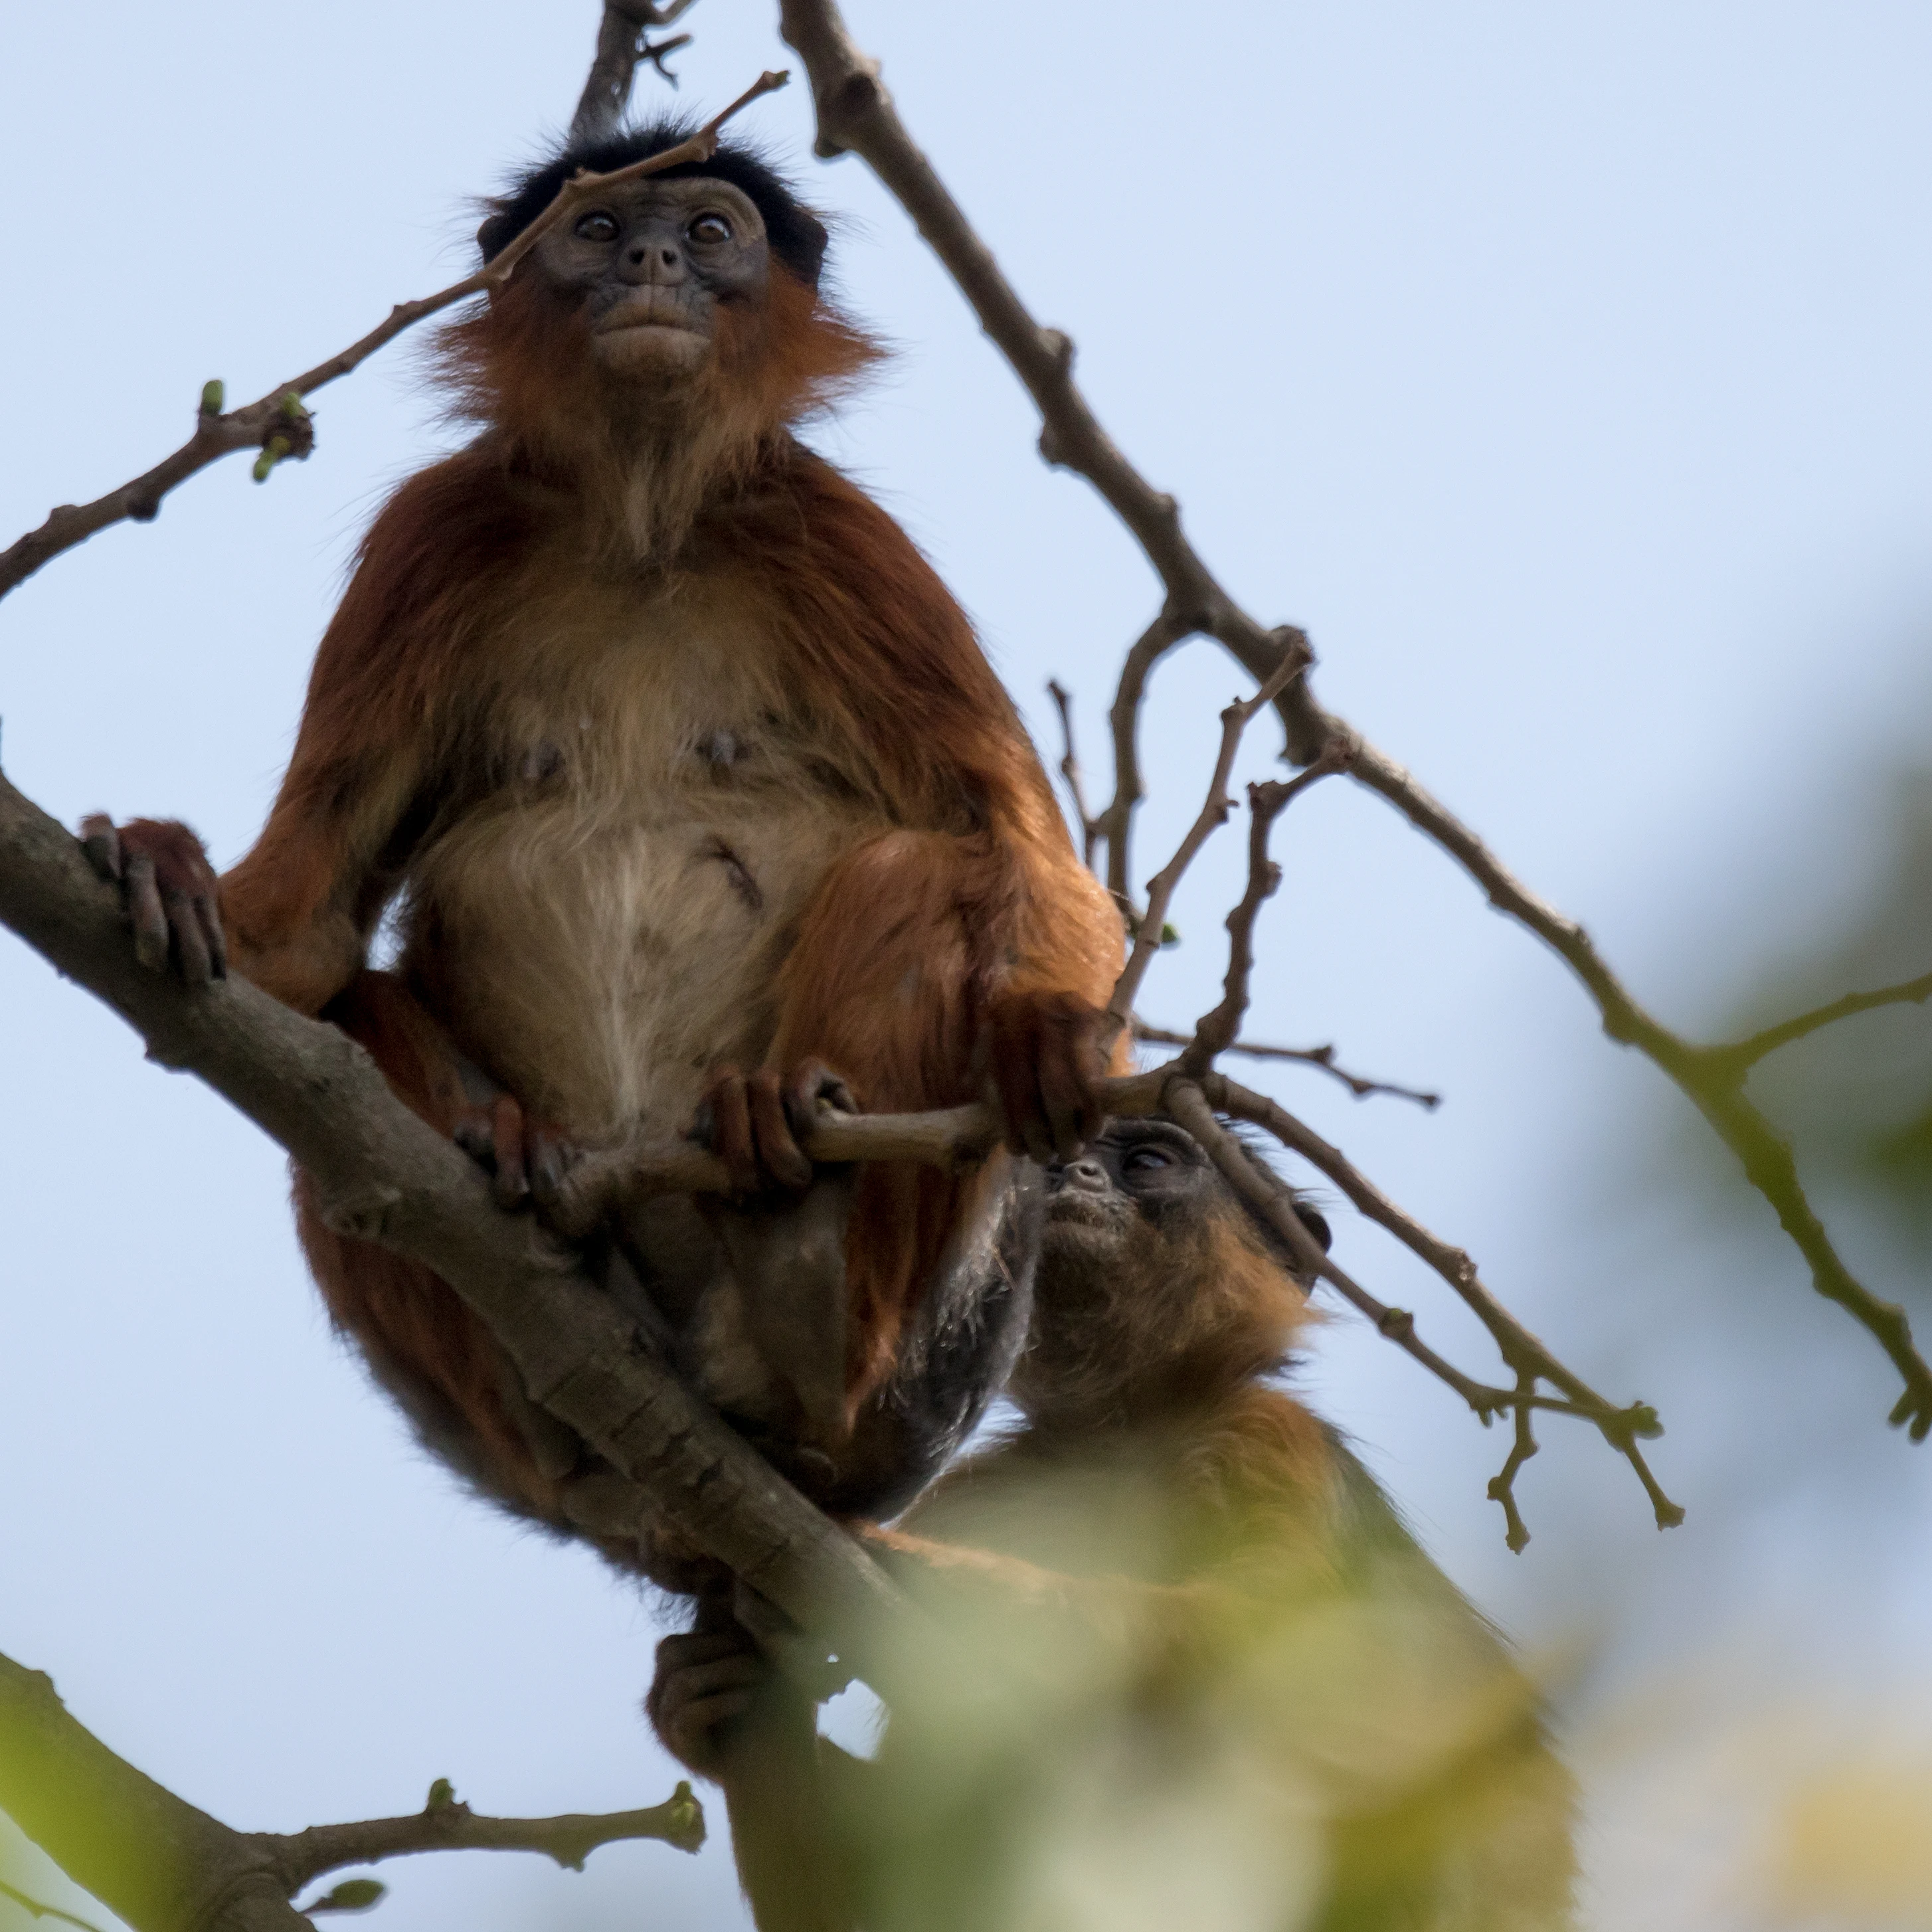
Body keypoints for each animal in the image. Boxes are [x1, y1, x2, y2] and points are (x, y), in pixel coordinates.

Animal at [78, 116, 1123, 1595]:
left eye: (707, 233)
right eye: (599, 229)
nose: (647, 265)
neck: (639, 523)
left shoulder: (824, 531)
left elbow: (1018, 846)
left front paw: (1047, 1024)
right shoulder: (444, 526)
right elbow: (308, 931)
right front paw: (170, 866)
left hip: (925, 1360)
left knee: (919, 872)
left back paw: (800, 1289)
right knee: (350, 1022)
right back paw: (524, 1239)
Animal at [649, 1118, 1578, 1932]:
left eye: (1148, 1161)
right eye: (1053, 1157)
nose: (1071, 1173)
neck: (1117, 1437)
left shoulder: (1270, 1436)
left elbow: (1315, 1669)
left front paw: (954, 1588)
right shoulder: (985, 1488)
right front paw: (713, 1692)